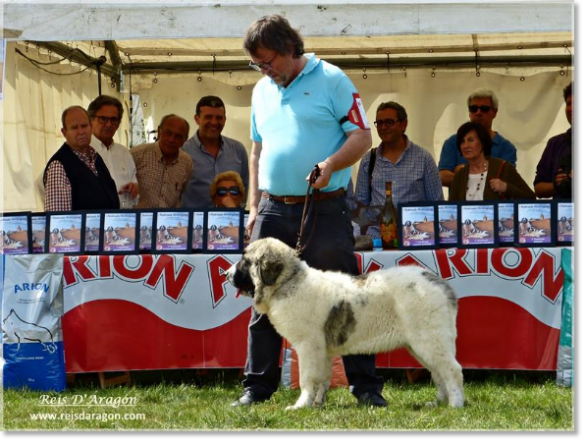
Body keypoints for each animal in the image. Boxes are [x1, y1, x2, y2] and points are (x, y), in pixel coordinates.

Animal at [226, 240, 464, 410]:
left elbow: (307, 378)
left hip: (429, 339)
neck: (290, 281)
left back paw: (455, 405)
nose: (226, 274)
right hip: (421, 344)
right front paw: (316, 405)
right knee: (438, 372)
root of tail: (438, 282)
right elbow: (322, 378)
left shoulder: (307, 346)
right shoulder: (322, 350)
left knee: (451, 369)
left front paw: (300, 406)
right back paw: (438, 403)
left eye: (245, 261)